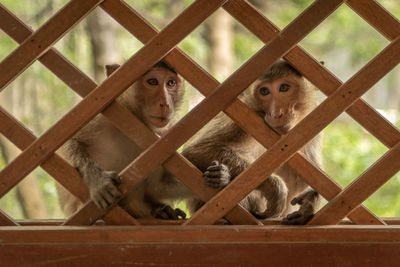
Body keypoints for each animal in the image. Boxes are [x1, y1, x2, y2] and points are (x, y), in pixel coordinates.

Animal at [57, 61, 187, 221]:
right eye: (152, 82)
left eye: (171, 83)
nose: (165, 104)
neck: (136, 118)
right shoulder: (103, 115)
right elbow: (67, 140)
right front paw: (97, 179)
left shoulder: (163, 138)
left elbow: (157, 188)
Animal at [178, 59, 322, 225]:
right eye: (264, 91)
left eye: (284, 88)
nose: (276, 114)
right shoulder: (246, 116)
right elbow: (196, 151)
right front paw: (274, 187)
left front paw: (309, 200)